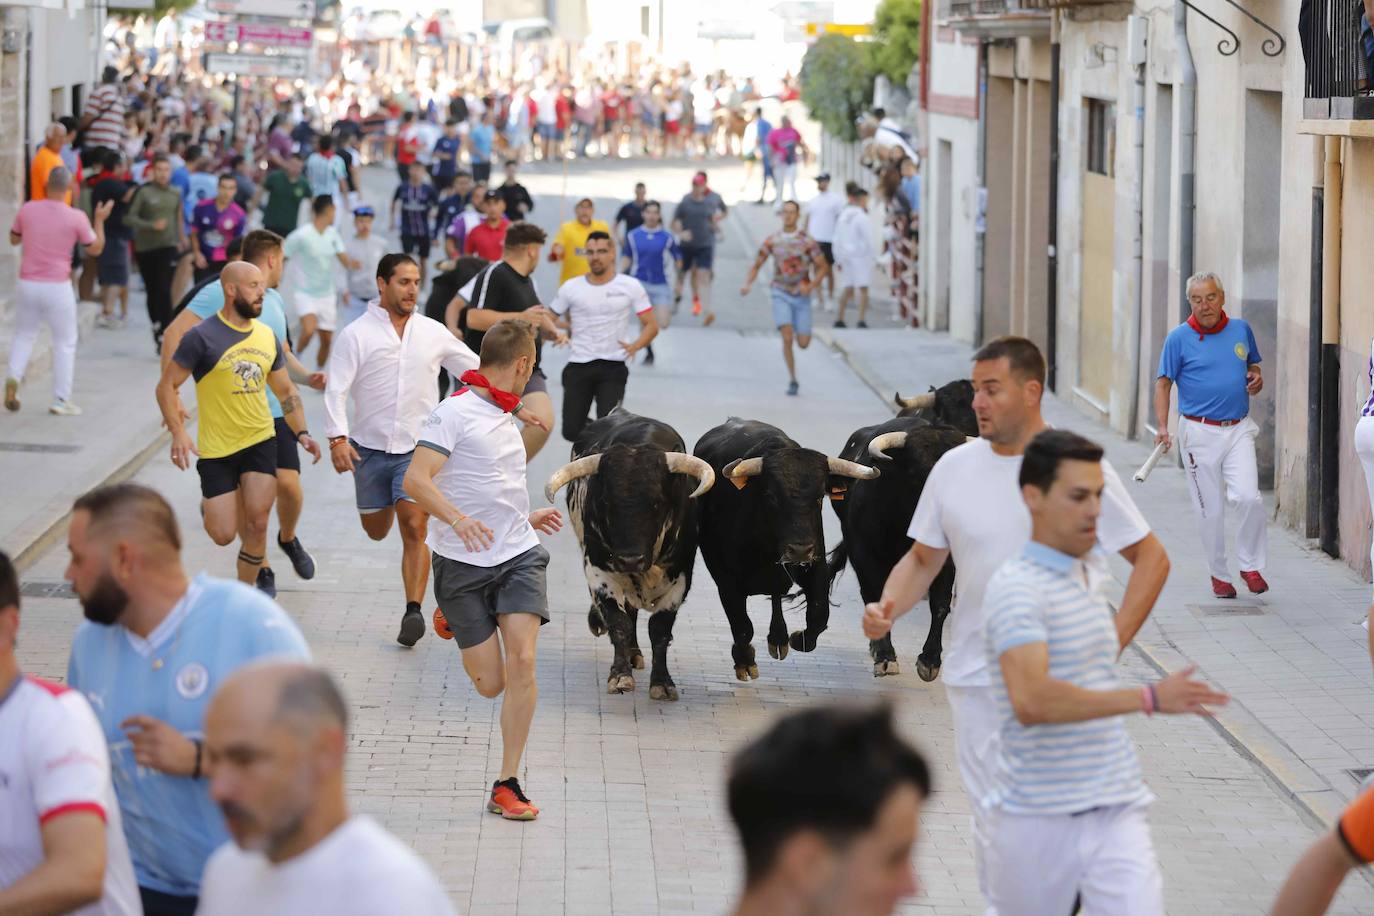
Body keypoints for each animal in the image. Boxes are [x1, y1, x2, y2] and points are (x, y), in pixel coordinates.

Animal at [541, 409, 714, 703]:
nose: (630, 559)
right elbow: (619, 623)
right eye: (606, 502)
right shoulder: (599, 571)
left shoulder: (681, 578)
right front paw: (620, 676)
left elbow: (660, 630)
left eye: (656, 502)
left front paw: (662, 683)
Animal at [692, 417, 873, 681]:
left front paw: (799, 638)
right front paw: (744, 661)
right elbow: (742, 625)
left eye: (820, 497)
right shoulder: (725, 580)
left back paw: (778, 637)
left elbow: (819, 613)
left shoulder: (815, 565)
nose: (799, 550)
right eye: (771, 496)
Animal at [824, 414, 967, 681]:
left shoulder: (945, 560)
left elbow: (940, 603)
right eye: (919, 473)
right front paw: (885, 656)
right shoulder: (865, 554)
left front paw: (930, 660)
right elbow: (875, 596)